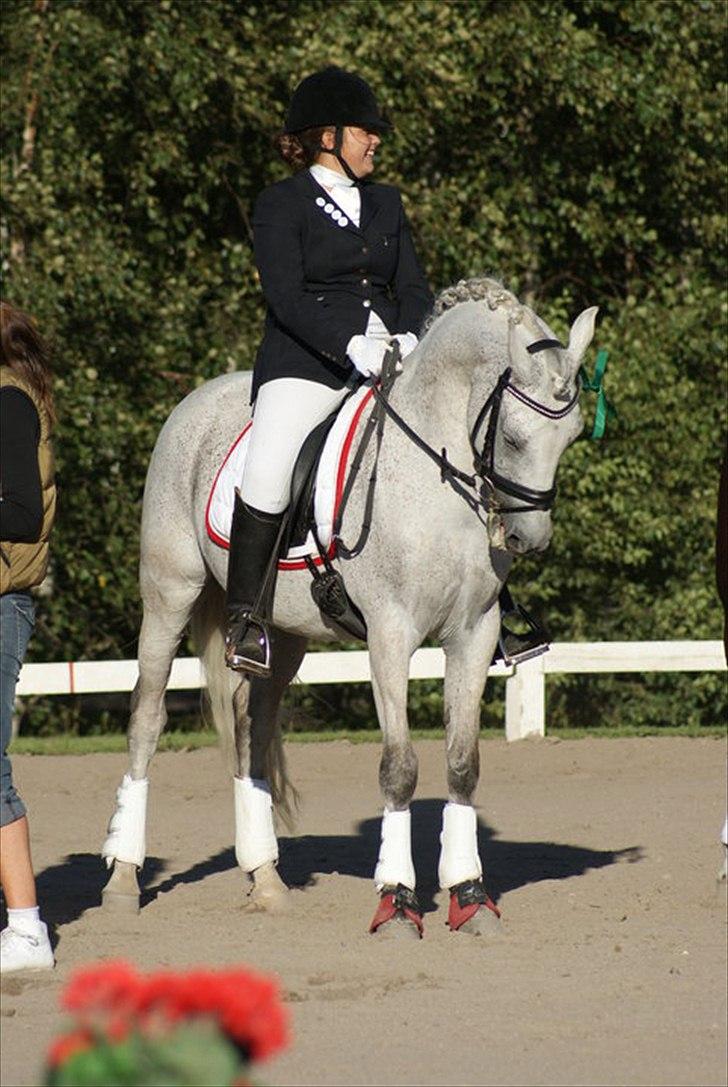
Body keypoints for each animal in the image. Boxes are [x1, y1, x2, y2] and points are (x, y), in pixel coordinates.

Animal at [101, 277, 598, 937]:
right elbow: (400, 767)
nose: (527, 540)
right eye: (514, 438)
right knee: (146, 719)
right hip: (168, 595)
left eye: (571, 438)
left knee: (252, 728)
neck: (435, 474)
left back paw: (266, 879)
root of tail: (197, 399)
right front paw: (397, 900)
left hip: (281, 635)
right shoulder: (391, 635)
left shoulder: (473, 634)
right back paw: (123, 879)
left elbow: (463, 763)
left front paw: (469, 896)